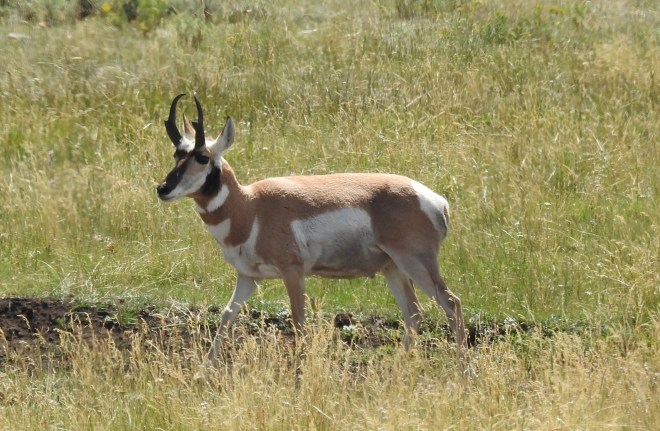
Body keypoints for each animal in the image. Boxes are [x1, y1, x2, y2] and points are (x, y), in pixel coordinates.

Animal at [156, 94, 467, 363]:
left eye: (202, 157)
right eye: (176, 154)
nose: (163, 189)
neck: (250, 207)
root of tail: (436, 200)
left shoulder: (293, 272)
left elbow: (299, 322)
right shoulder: (248, 277)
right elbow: (226, 314)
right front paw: (205, 369)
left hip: (415, 263)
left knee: (451, 303)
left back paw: (464, 370)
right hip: (394, 268)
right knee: (413, 313)